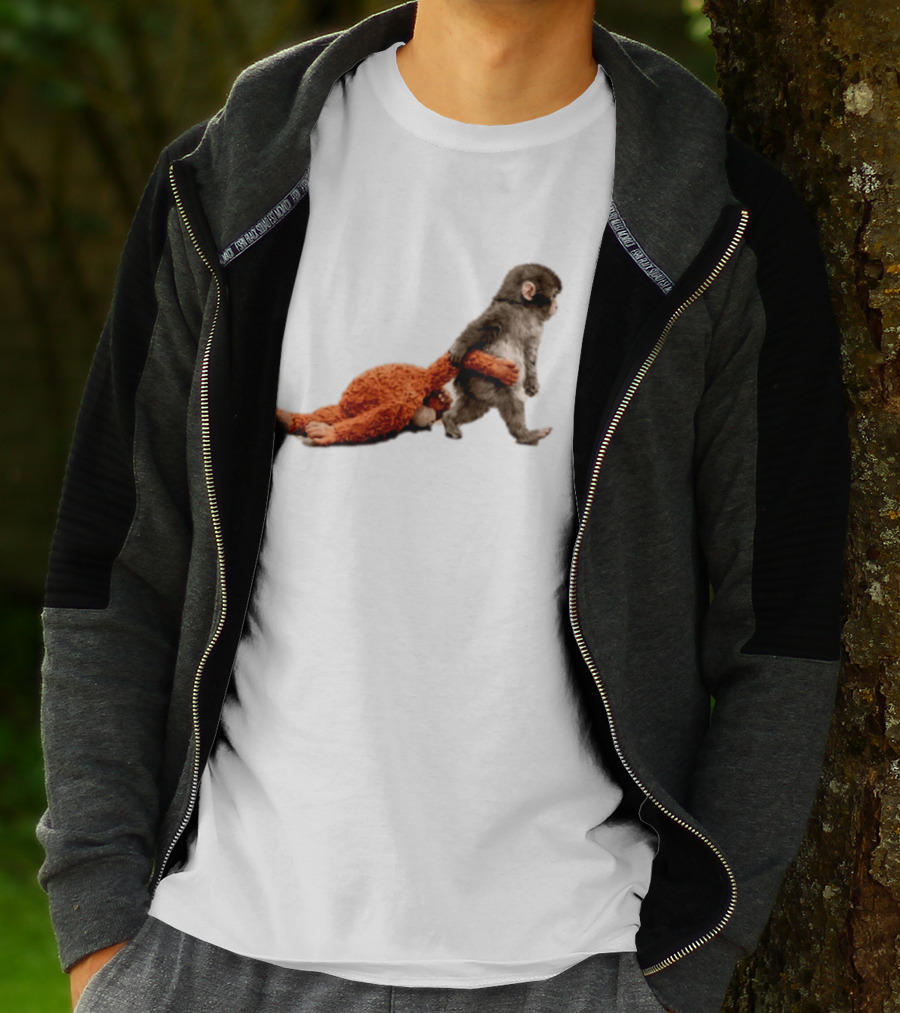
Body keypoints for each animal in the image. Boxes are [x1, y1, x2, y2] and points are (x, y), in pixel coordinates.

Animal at [442, 263, 562, 445]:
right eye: (553, 295)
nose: (557, 306)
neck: (524, 309)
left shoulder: (535, 328)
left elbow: (530, 354)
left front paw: (532, 382)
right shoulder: (503, 312)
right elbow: (480, 327)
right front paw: (460, 346)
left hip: (476, 391)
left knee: (474, 407)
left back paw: (449, 419)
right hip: (481, 381)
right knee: (510, 397)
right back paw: (524, 435)